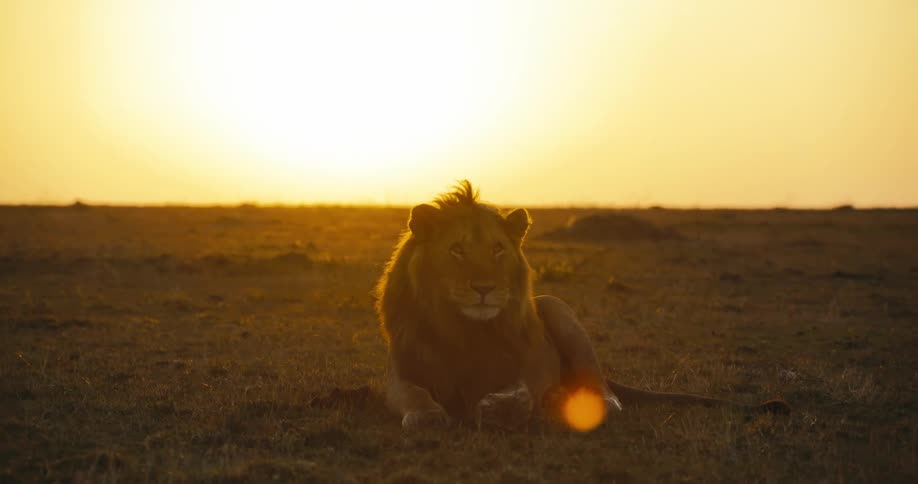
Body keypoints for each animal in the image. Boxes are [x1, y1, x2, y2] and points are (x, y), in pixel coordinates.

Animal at [376, 181, 789, 430]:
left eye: (497, 250)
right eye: (456, 250)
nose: (484, 289)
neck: (464, 329)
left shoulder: (527, 364)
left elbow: (522, 389)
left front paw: (504, 406)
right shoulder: (400, 374)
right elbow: (414, 395)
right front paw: (428, 416)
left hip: (558, 309)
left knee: (606, 394)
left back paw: (567, 399)